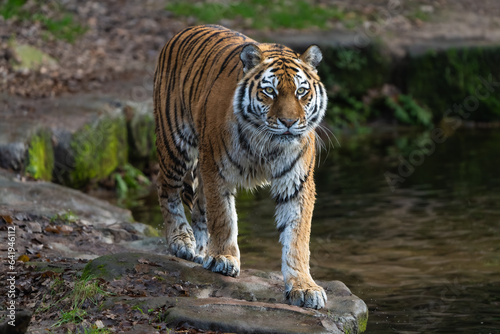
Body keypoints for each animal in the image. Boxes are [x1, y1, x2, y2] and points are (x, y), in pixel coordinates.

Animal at [154, 24, 330, 310]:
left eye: (301, 92)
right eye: (270, 91)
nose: (289, 122)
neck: (267, 143)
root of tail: (185, 29)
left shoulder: (297, 182)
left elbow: (297, 237)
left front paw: (304, 287)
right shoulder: (216, 169)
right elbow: (223, 217)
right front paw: (224, 258)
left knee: (199, 205)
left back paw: (202, 249)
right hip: (176, 143)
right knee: (167, 189)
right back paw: (182, 241)